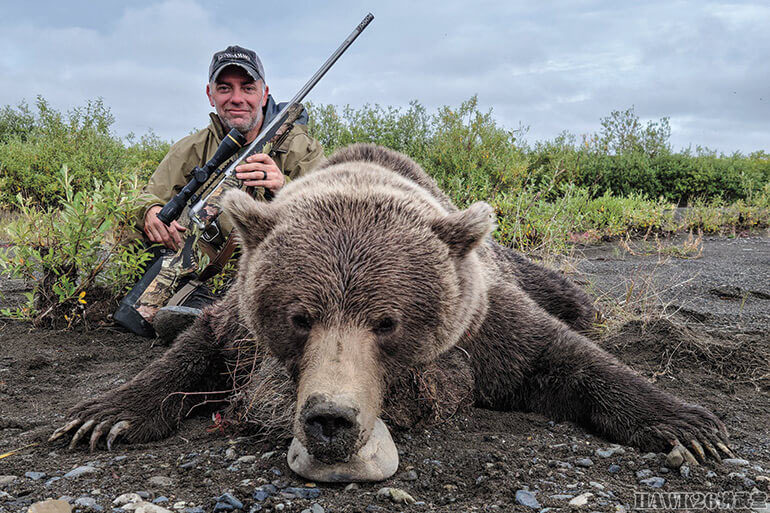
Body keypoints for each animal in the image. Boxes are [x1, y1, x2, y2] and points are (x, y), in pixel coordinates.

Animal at [49, 143, 732, 480]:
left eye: (387, 322)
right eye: (300, 316)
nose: (330, 419)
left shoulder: (482, 322)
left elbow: (556, 353)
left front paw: (691, 426)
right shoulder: (240, 320)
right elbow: (196, 351)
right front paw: (100, 417)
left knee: (576, 301)